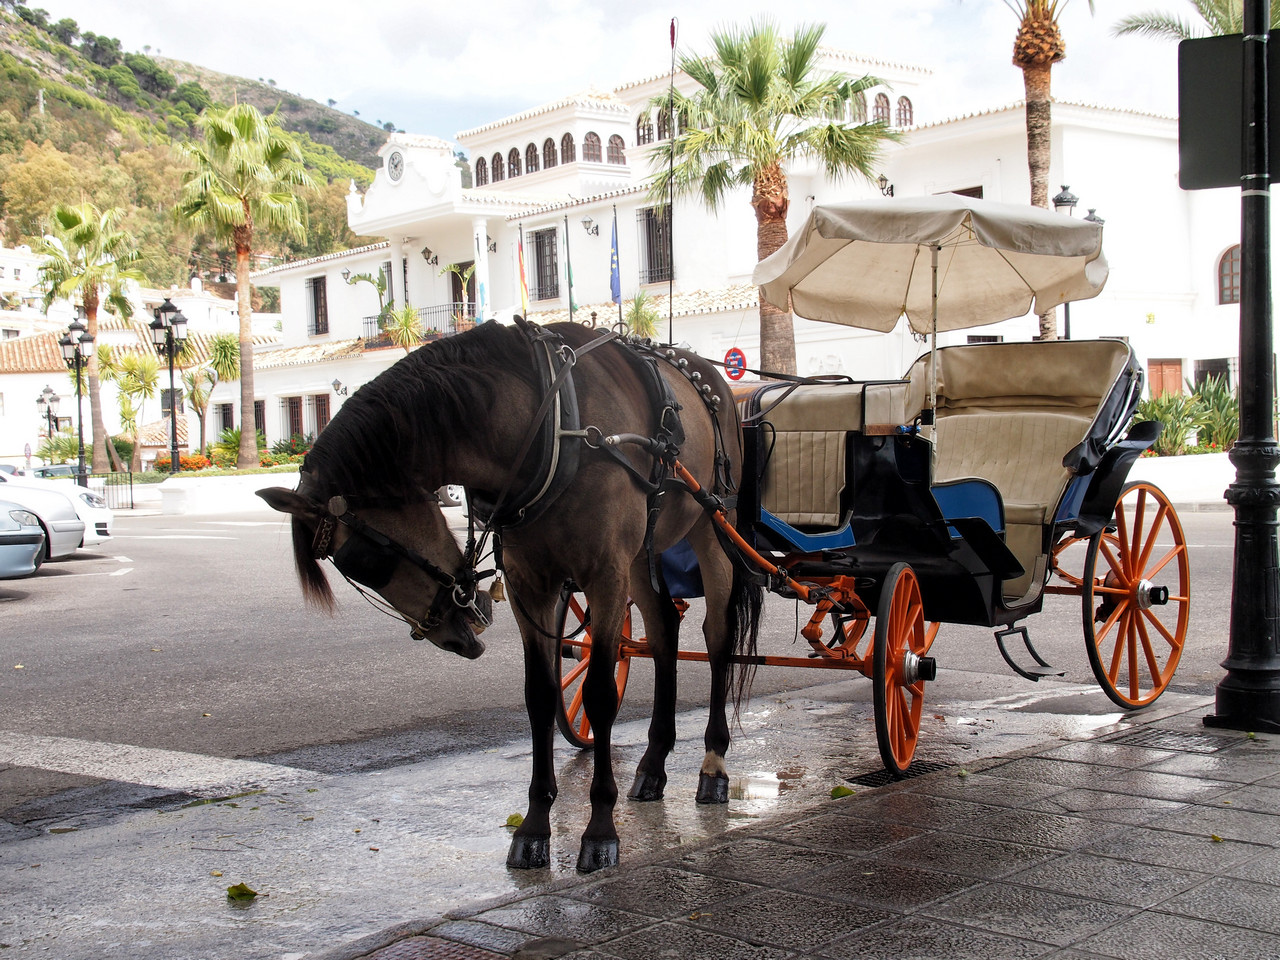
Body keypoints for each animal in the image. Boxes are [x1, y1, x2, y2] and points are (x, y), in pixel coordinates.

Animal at [259, 321, 757, 870]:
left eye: (366, 560)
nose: (449, 635)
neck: (551, 425)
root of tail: (716, 380)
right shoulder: (528, 585)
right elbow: (539, 696)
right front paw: (535, 825)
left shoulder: (605, 577)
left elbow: (600, 696)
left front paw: (600, 829)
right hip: (640, 554)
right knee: (665, 628)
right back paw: (653, 763)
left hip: (714, 527)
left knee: (717, 636)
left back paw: (713, 764)